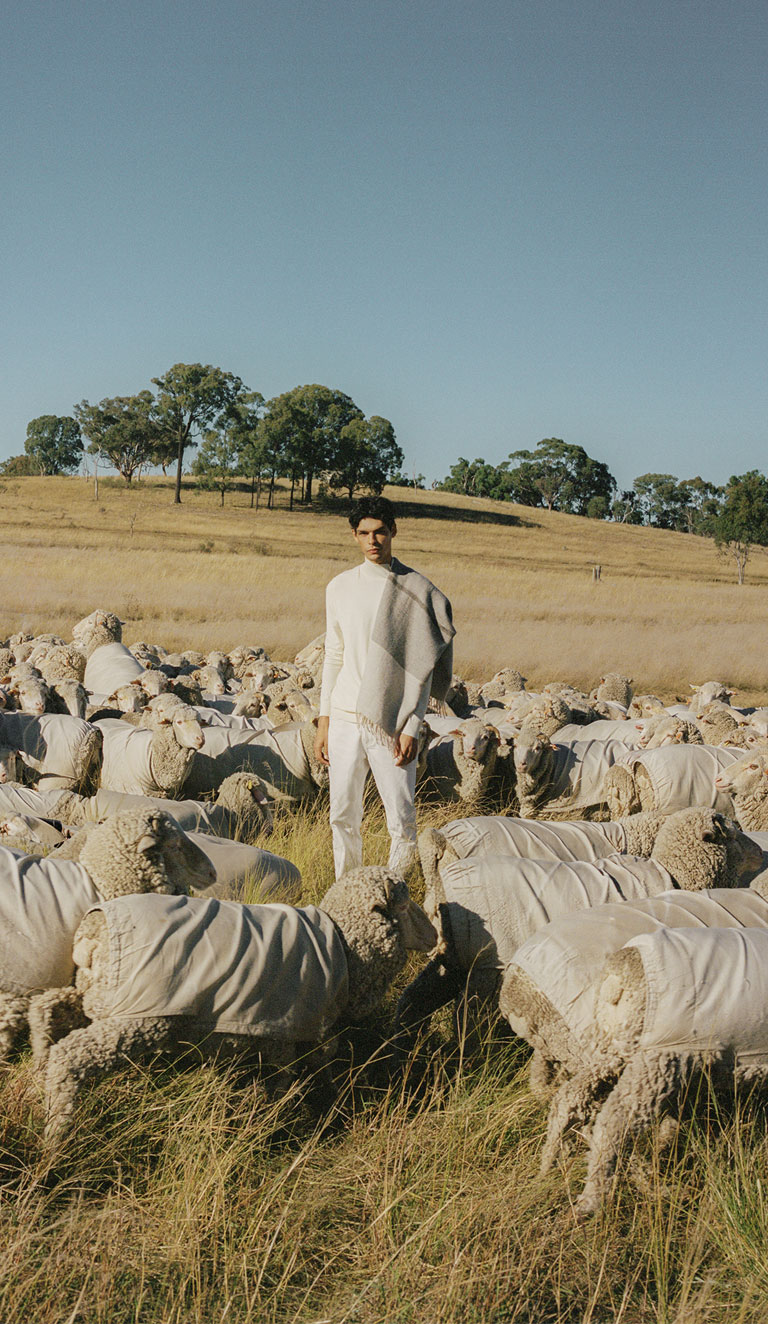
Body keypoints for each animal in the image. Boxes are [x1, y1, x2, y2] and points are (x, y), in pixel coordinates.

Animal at [43, 868, 436, 1138]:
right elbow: (306, 1080)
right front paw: (316, 1119)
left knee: (48, 1008)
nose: (435, 932)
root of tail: (92, 933)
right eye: (404, 904)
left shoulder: (279, 1037)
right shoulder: (303, 1031)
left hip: (99, 999)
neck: (343, 942)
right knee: (68, 1058)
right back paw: (56, 1136)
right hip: (136, 1017)